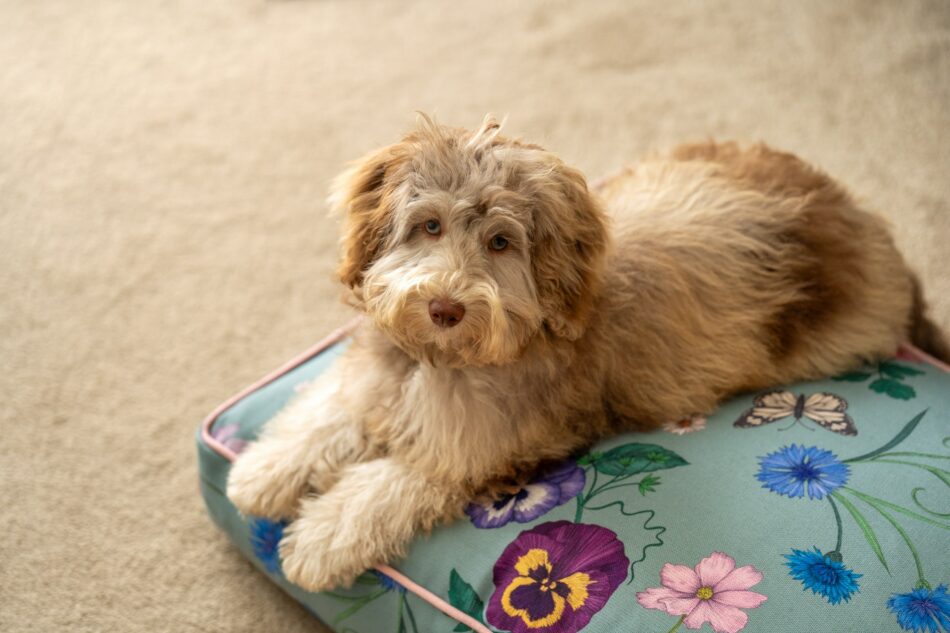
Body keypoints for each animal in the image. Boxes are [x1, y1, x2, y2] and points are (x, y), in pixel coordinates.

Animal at [227, 115, 948, 592]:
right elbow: (329, 411)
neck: (439, 359)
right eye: (428, 225)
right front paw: (263, 471)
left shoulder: (480, 448)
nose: (445, 307)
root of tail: (856, 221)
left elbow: (390, 482)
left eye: (499, 242)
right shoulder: (379, 379)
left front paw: (321, 538)